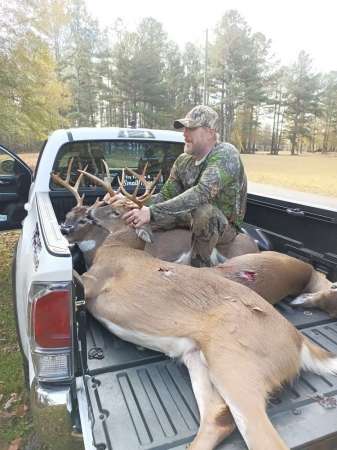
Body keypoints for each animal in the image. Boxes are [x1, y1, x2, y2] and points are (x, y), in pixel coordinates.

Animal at [76, 168, 336, 450]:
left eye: (116, 210)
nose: (89, 212)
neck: (119, 248)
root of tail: (299, 339)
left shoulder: (95, 280)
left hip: (236, 365)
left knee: (261, 436)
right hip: (197, 357)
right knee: (217, 418)